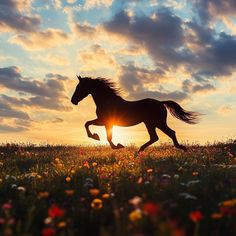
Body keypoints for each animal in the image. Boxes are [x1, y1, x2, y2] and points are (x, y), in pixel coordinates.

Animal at [71, 76, 200, 153]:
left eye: (79, 87)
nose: (73, 100)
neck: (107, 100)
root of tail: (161, 102)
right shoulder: (104, 121)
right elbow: (88, 124)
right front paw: (98, 137)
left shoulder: (106, 121)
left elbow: (104, 134)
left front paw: (115, 144)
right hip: (153, 123)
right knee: (159, 136)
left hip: (155, 122)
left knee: (163, 135)